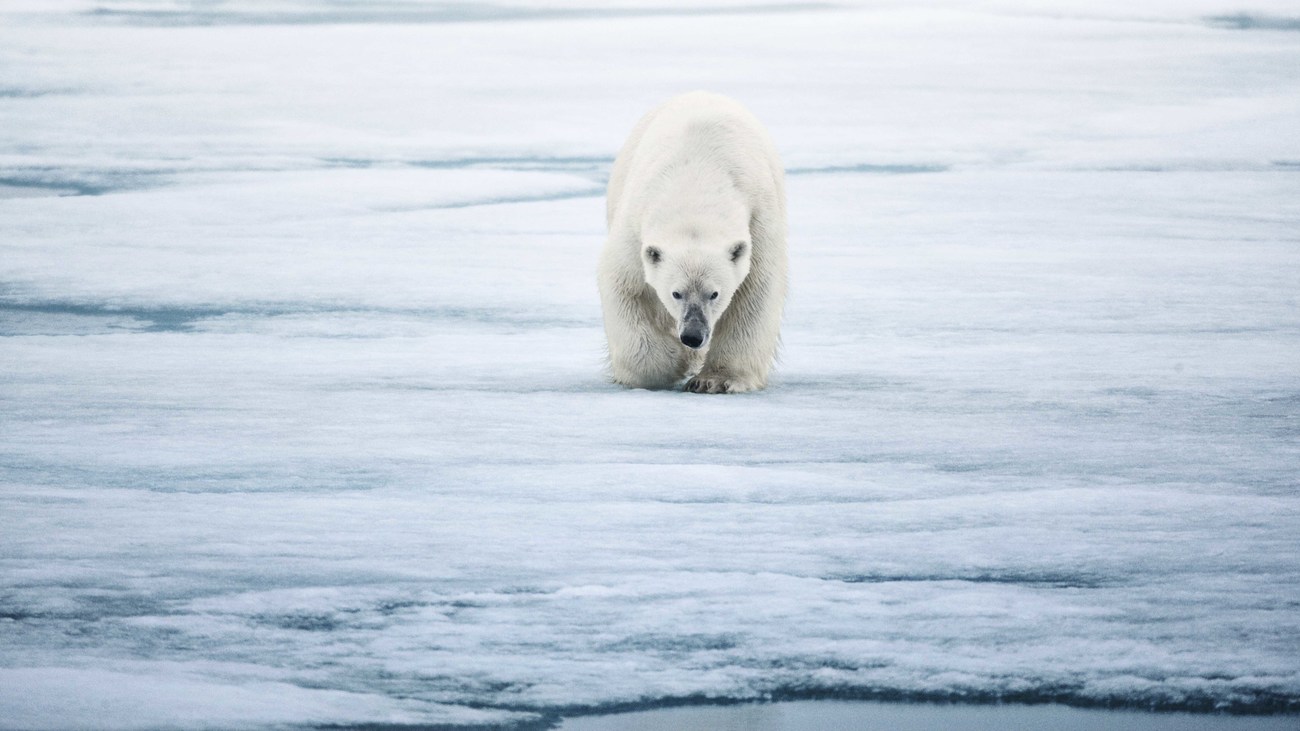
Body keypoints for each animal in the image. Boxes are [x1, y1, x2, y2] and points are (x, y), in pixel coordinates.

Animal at [595, 91, 785, 392]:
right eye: (676, 293)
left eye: (714, 293)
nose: (693, 336)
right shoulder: (635, 223)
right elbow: (623, 282)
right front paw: (671, 361)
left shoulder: (759, 218)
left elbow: (755, 291)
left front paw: (715, 380)